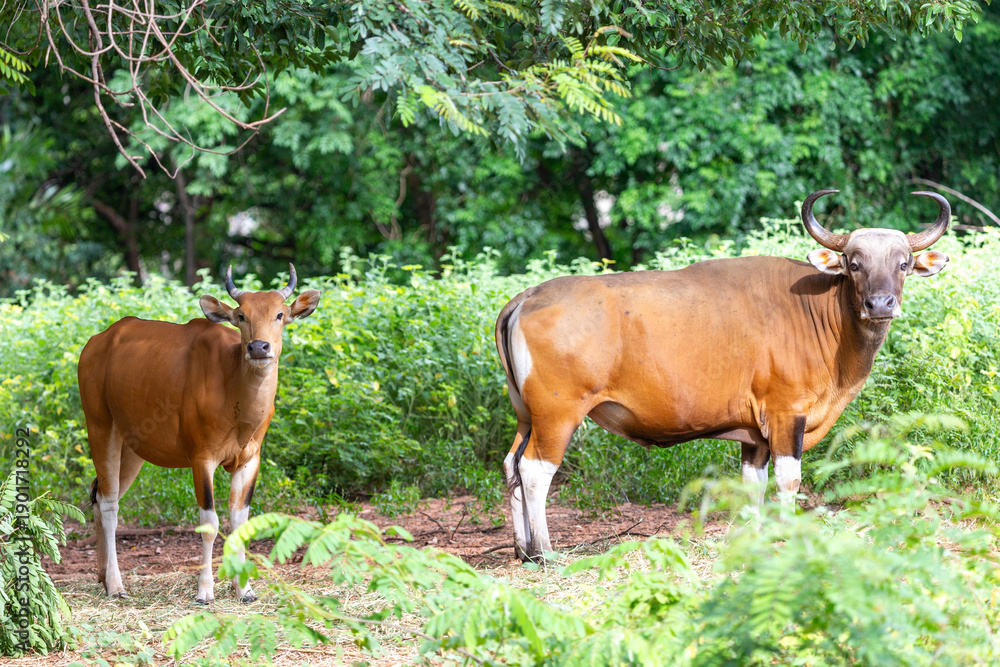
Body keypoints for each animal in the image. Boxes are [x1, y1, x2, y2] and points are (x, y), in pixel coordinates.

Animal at [78, 265, 320, 602]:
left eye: (280, 314)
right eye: (241, 315)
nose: (258, 347)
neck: (233, 392)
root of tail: (95, 344)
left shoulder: (250, 459)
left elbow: (240, 522)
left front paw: (244, 588)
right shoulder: (201, 458)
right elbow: (210, 523)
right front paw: (205, 590)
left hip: (133, 448)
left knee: (100, 497)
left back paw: (103, 576)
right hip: (100, 427)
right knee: (110, 504)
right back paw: (116, 585)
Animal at [495, 190, 951, 561]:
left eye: (903, 264)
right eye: (854, 264)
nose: (881, 303)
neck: (820, 315)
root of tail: (527, 297)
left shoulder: (754, 432)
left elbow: (753, 483)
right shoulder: (787, 414)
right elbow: (789, 480)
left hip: (526, 414)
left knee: (512, 464)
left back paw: (523, 549)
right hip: (558, 414)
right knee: (535, 470)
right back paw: (546, 551)